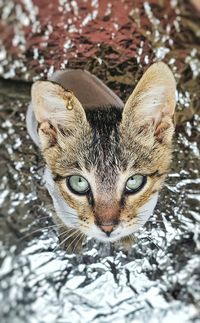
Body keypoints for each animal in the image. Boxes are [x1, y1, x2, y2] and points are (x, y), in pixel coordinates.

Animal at [26, 62, 177, 251]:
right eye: (78, 182)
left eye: (134, 181)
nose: (107, 227)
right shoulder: (52, 189)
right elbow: (62, 215)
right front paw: (70, 235)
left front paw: (126, 238)